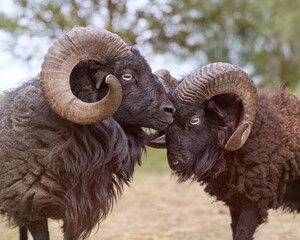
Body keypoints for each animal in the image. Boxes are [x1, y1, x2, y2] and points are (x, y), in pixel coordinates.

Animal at [152, 62, 300, 239]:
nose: (175, 162)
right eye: (167, 122)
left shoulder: (254, 201)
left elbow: (242, 234)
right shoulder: (235, 201)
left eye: (194, 120)